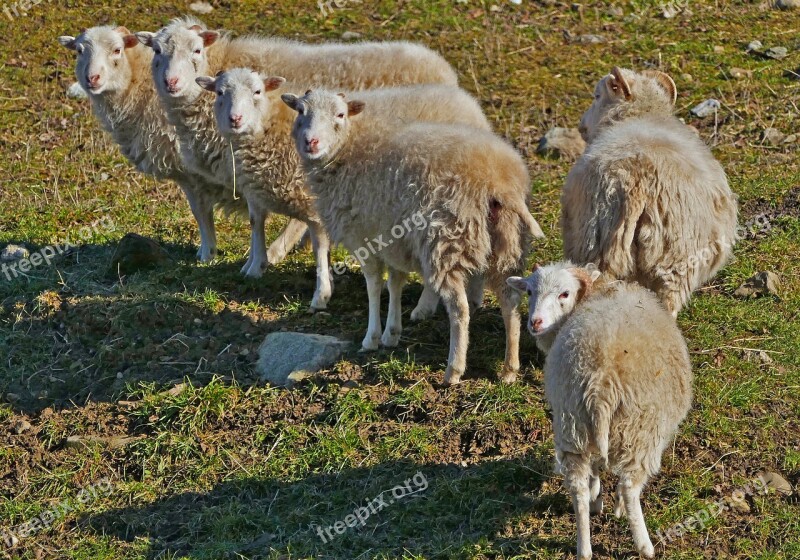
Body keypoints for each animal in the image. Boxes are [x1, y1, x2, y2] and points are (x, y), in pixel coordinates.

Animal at [55, 24, 306, 262]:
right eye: (79, 51)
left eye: (117, 50)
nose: (92, 79)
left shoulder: (190, 172)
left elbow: (200, 212)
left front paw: (207, 253)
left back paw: (276, 251)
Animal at [134, 17, 460, 278]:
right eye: (157, 51)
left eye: (197, 50)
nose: (172, 82)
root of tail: (444, 69)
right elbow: (232, 214)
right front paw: (217, 255)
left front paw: (252, 257)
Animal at [280, 88, 544, 384]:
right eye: (300, 111)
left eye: (340, 114)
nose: (311, 142)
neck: (348, 150)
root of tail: (500, 184)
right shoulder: (394, 241)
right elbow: (395, 283)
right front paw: (391, 333)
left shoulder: (364, 237)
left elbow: (374, 286)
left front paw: (371, 337)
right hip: (507, 246)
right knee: (510, 304)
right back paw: (509, 369)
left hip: (447, 242)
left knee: (460, 310)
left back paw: (454, 369)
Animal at [512, 260, 692, 556]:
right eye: (529, 292)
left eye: (564, 293)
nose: (534, 322)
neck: (600, 289)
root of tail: (601, 384)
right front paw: (612, 504)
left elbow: (596, 468)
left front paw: (598, 498)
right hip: (640, 430)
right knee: (629, 486)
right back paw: (644, 544)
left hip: (572, 424)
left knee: (578, 488)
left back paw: (584, 547)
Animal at [564, 66, 736, 316]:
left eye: (597, 95)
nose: (581, 127)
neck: (642, 113)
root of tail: (638, 182)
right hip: (675, 258)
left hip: (598, 248)